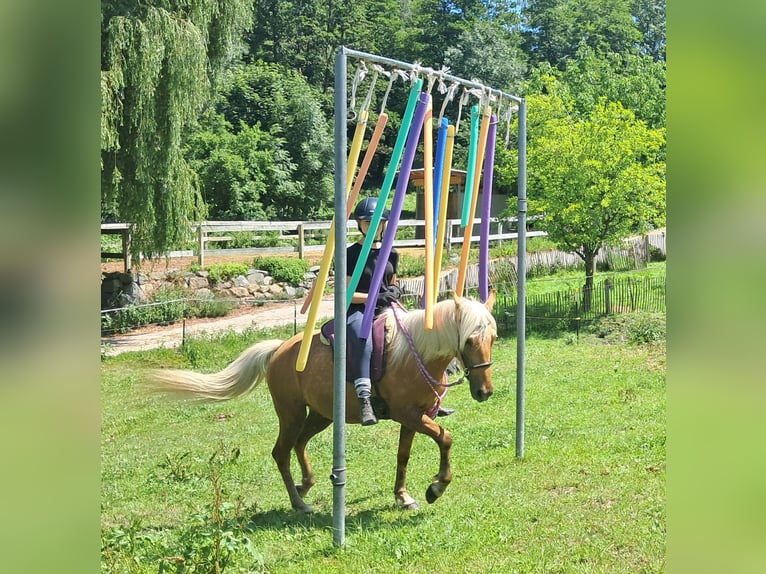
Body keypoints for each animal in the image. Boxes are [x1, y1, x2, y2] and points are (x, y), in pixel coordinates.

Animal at [151, 292, 497, 514]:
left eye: (492, 338)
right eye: (469, 340)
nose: (485, 391)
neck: (413, 355)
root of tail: (278, 350)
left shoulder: (414, 417)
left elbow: (404, 455)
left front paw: (404, 496)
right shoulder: (408, 415)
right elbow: (445, 438)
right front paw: (436, 487)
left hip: (321, 415)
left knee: (299, 444)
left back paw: (305, 485)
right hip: (290, 413)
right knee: (281, 452)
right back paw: (299, 502)